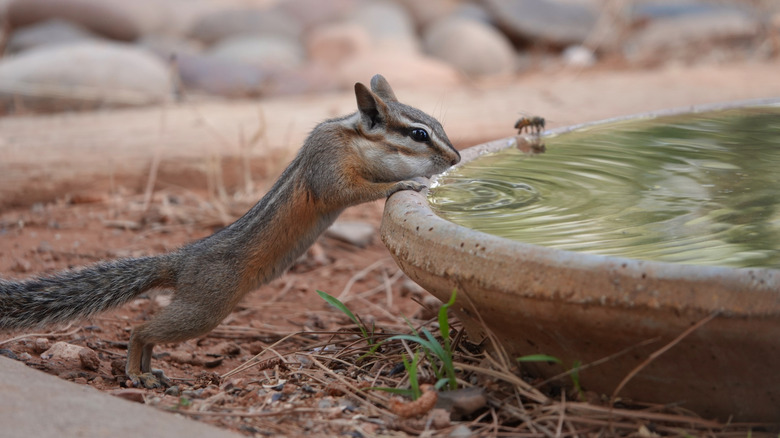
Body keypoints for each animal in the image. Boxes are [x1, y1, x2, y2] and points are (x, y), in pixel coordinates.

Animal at [0, 74, 460, 389]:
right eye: (419, 134)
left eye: (438, 125)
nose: (456, 158)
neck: (352, 137)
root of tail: (181, 260)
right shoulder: (329, 165)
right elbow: (348, 191)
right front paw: (406, 183)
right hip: (205, 309)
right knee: (141, 330)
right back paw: (136, 370)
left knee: (150, 335)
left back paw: (150, 371)